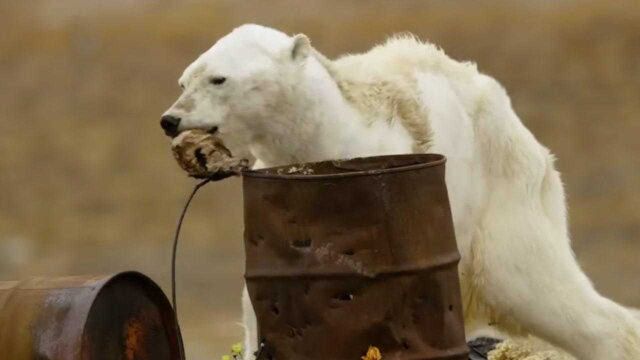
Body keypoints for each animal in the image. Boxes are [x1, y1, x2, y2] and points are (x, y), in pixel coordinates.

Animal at [161, 23, 640, 358]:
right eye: (184, 80)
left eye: (219, 79)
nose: (170, 119)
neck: (323, 133)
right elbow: (263, 306)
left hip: (503, 192)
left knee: (535, 284)